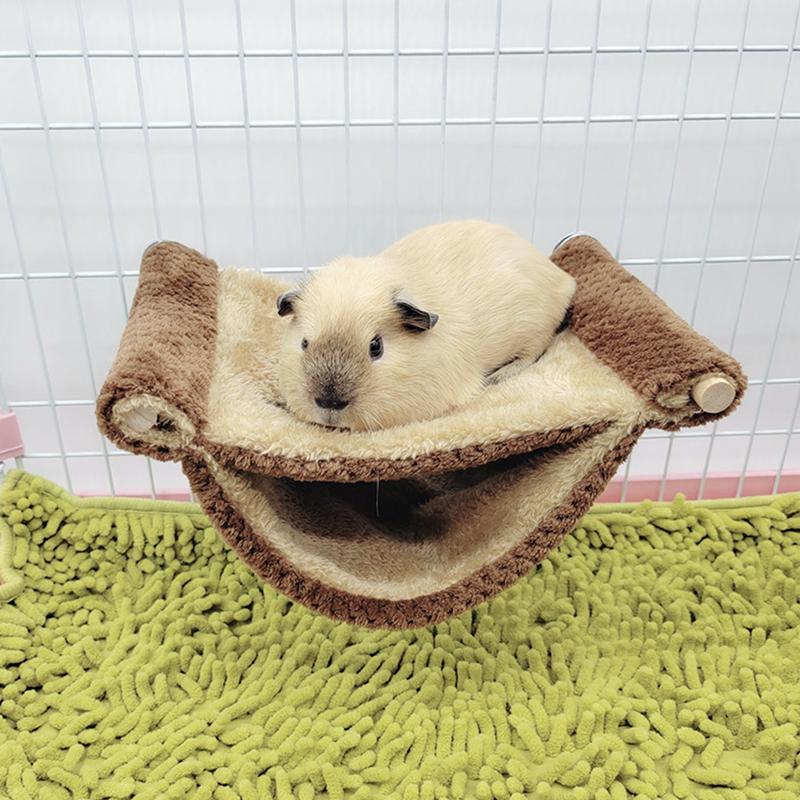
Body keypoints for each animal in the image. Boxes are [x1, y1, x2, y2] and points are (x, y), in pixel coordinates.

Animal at [276, 220, 576, 431]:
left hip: (536, 330)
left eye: (376, 347)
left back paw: (499, 376)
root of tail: (564, 280)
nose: (329, 402)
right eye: (304, 343)